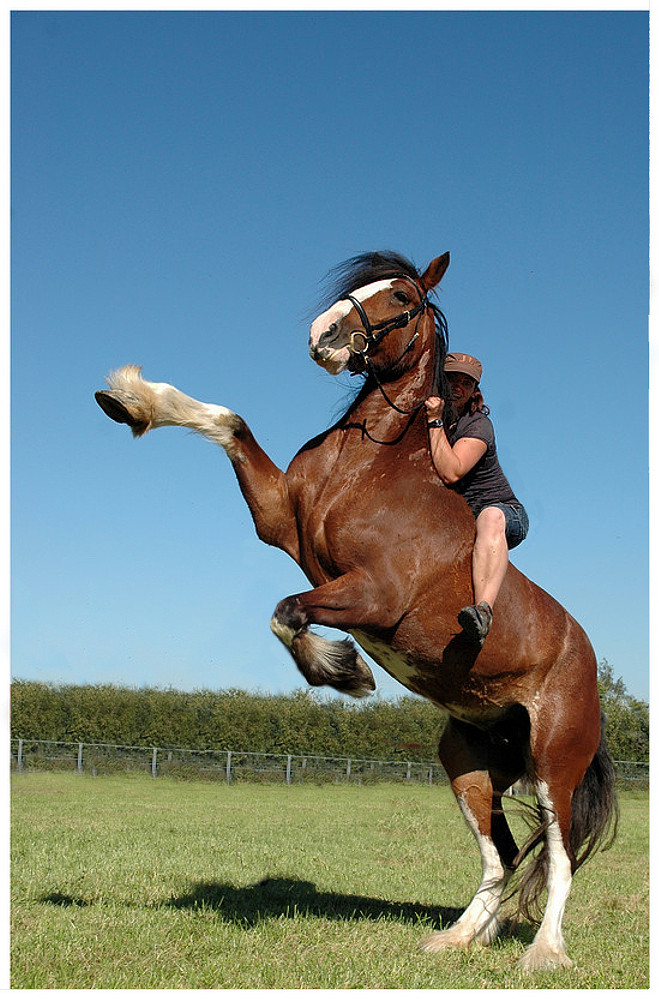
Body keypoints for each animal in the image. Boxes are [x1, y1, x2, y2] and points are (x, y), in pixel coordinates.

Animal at [96, 252, 620, 976]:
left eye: (400, 295)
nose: (324, 335)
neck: (370, 464)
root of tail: (587, 659)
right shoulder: (279, 521)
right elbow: (228, 421)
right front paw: (132, 399)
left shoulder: (372, 595)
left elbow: (287, 612)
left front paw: (345, 672)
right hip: (466, 756)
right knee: (504, 854)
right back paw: (458, 938)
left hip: (553, 761)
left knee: (561, 852)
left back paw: (542, 953)